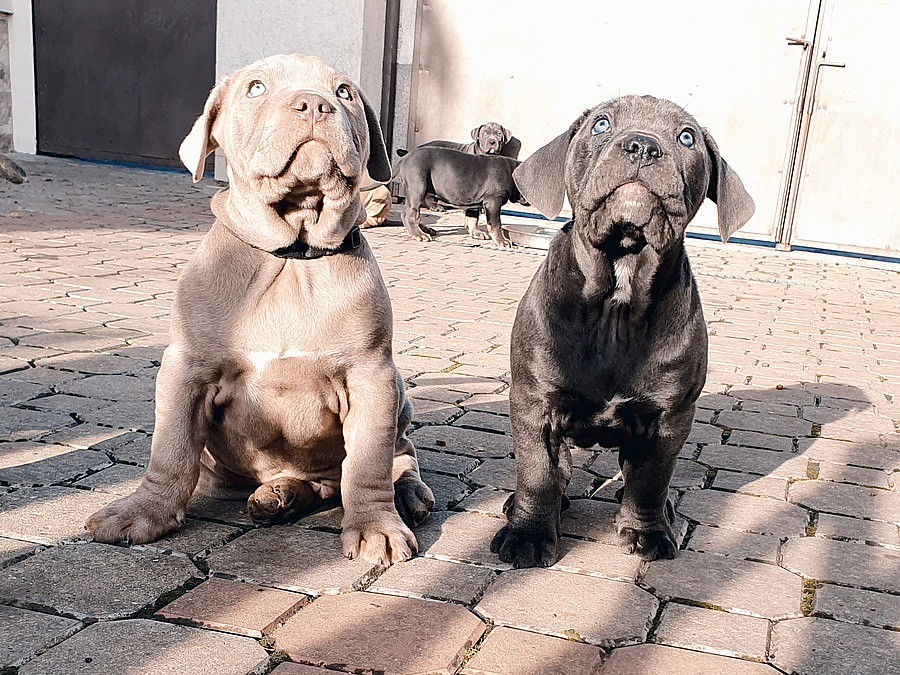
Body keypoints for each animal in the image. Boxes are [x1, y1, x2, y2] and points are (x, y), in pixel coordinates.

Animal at [85, 54, 434, 566]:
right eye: (255, 88)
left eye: (344, 91)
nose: (314, 104)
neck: (292, 255)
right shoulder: (185, 369)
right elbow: (170, 450)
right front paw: (143, 512)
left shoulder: (371, 375)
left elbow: (368, 462)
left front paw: (376, 526)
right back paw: (279, 496)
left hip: (400, 396)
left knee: (398, 456)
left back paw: (406, 495)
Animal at [394, 146, 524, 246]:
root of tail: (405, 158)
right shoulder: (493, 202)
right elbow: (496, 224)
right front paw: (502, 241)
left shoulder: (473, 203)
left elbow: (472, 219)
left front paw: (476, 233)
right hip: (417, 187)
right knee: (409, 214)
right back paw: (419, 234)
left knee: (417, 214)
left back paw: (426, 230)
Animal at [491, 95, 755, 567]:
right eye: (601, 124)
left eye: (686, 137)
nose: (643, 146)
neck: (618, 293)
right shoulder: (534, 404)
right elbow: (538, 473)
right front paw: (527, 536)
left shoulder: (670, 418)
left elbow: (650, 481)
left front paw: (647, 532)